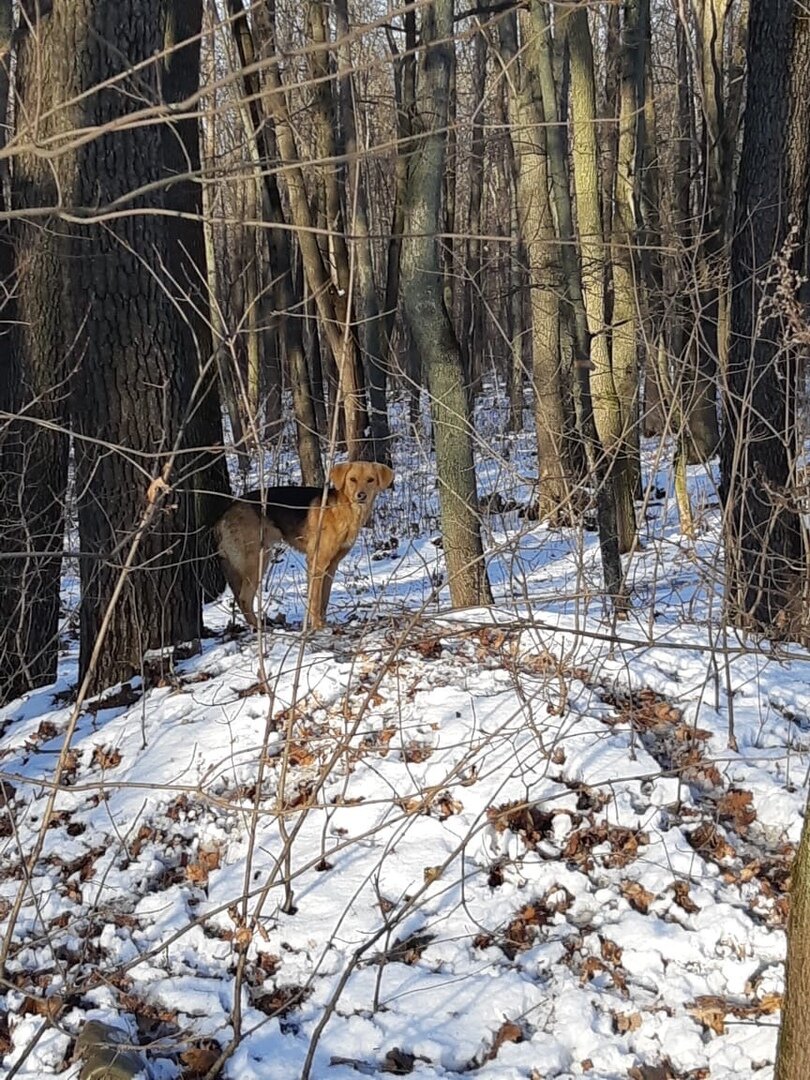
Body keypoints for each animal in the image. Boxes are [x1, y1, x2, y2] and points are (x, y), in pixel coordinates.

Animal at [213, 460, 395, 630]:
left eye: (370, 480)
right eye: (352, 479)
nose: (361, 495)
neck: (343, 510)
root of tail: (223, 516)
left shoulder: (331, 566)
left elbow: (323, 600)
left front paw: (322, 623)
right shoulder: (317, 563)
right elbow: (314, 599)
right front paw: (317, 626)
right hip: (258, 560)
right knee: (244, 598)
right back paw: (260, 628)